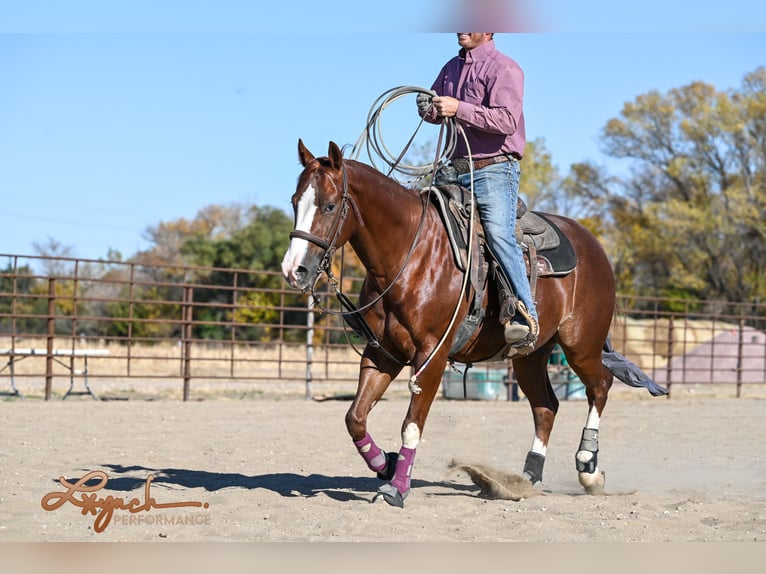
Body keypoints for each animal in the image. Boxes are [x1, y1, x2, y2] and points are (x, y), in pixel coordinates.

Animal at [282, 140, 664, 508]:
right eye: (295, 201)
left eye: (330, 206)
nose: (293, 270)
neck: (410, 255)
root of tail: (595, 247)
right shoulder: (383, 354)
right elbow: (355, 418)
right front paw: (386, 465)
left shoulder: (431, 356)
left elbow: (411, 425)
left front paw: (397, 488)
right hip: (531, 355)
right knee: (546, 406)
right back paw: (525, 479)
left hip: (581, 344)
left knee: (599, 386)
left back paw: (588, 469)